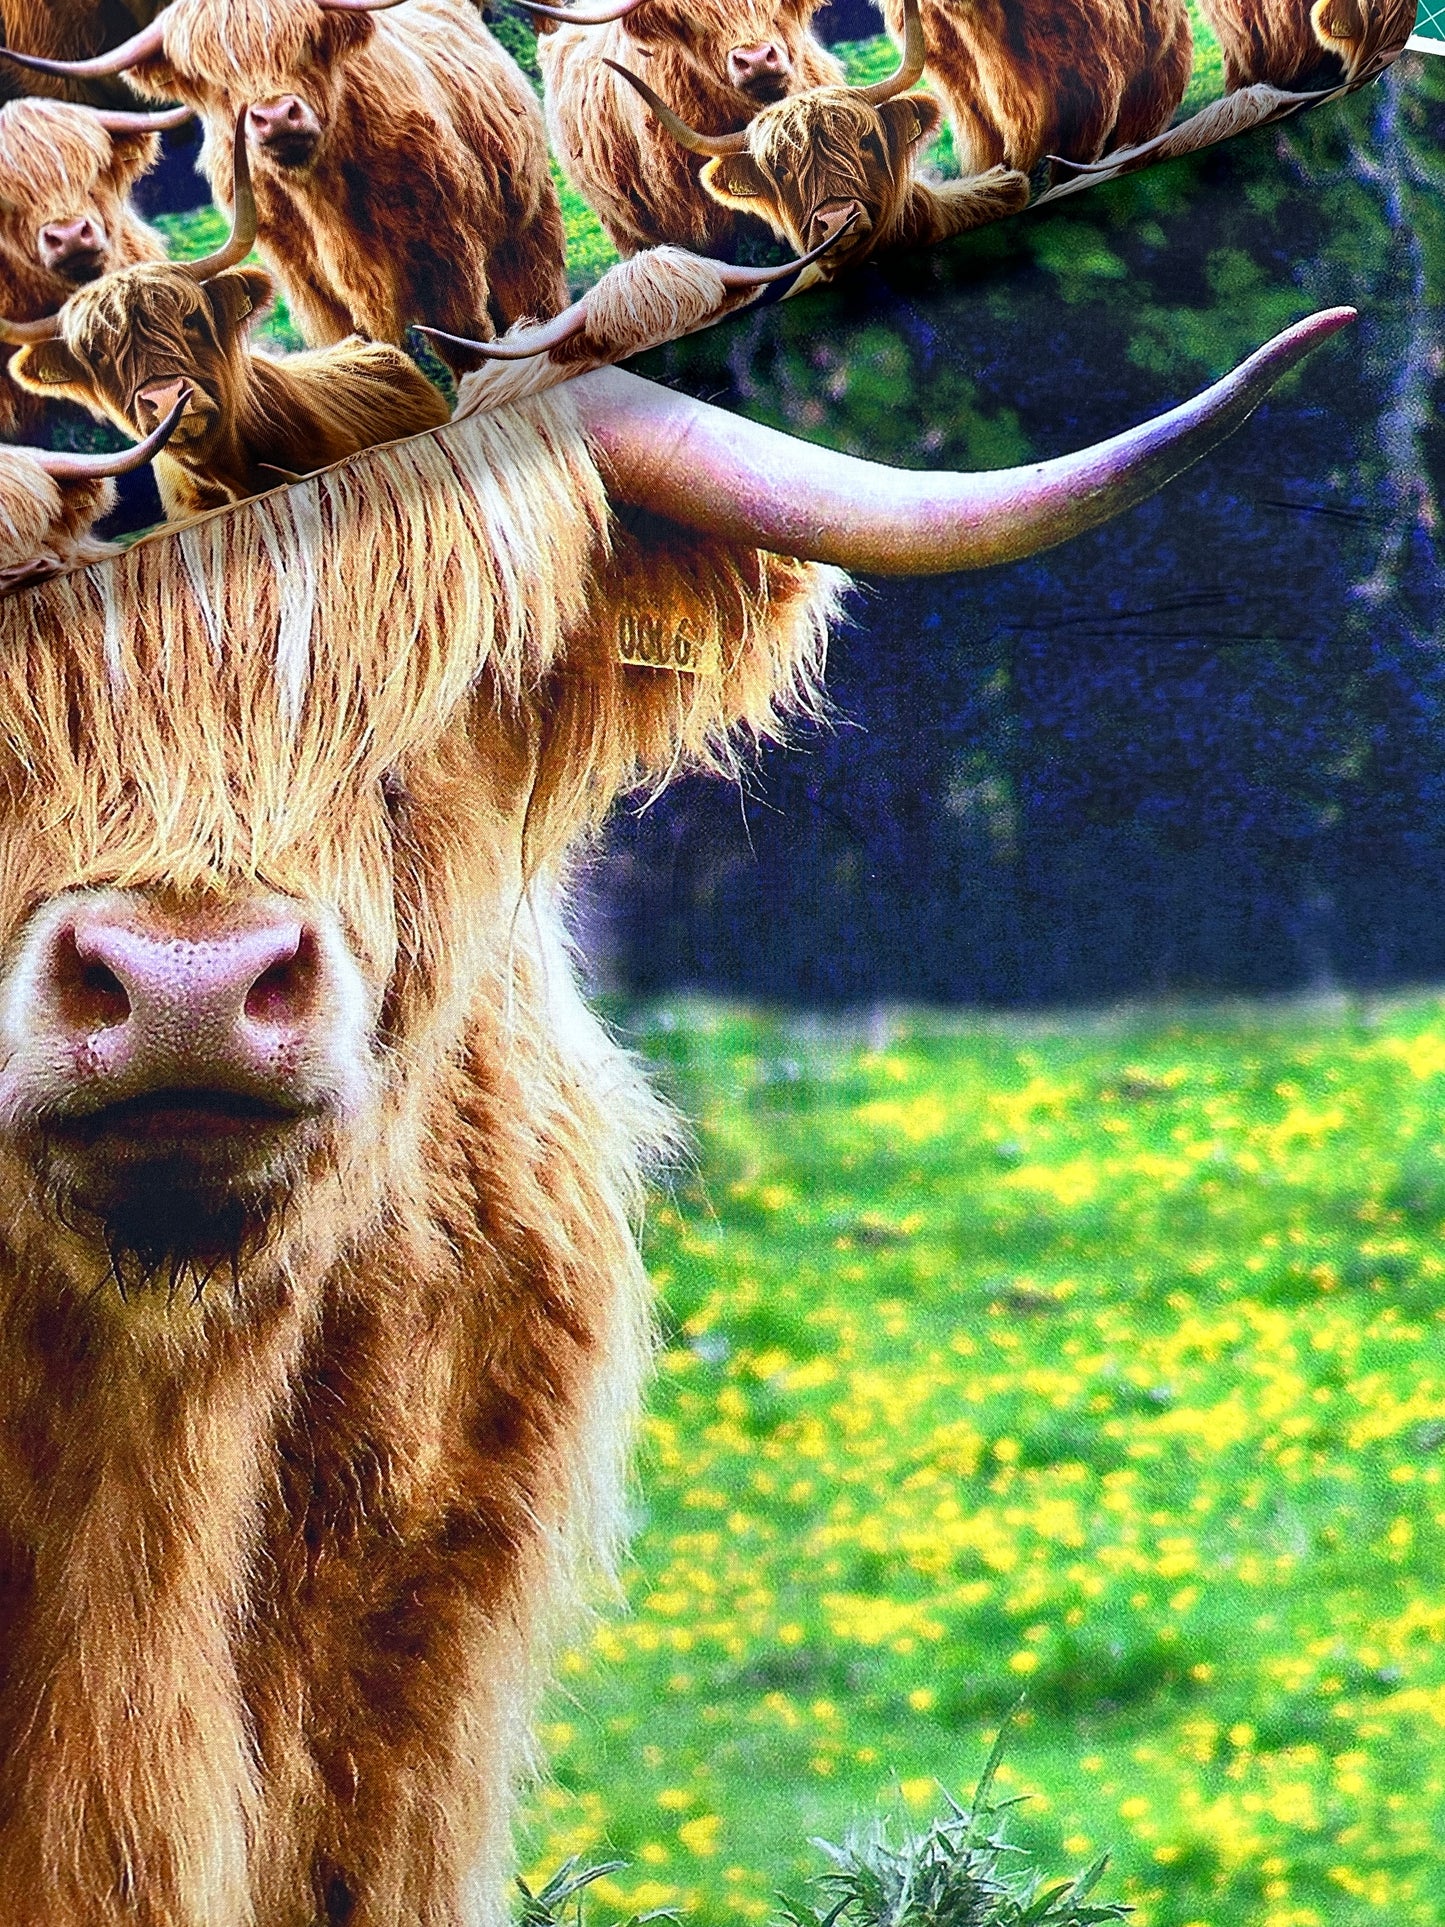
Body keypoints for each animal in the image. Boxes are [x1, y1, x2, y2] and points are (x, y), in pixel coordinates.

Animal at [1, 0, 570, 352]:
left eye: (305, 42)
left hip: (527, 230)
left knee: (535, 304)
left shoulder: (447, 265)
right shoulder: (313, 294)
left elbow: (470, 349)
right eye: (212, 78)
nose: (275, 116)